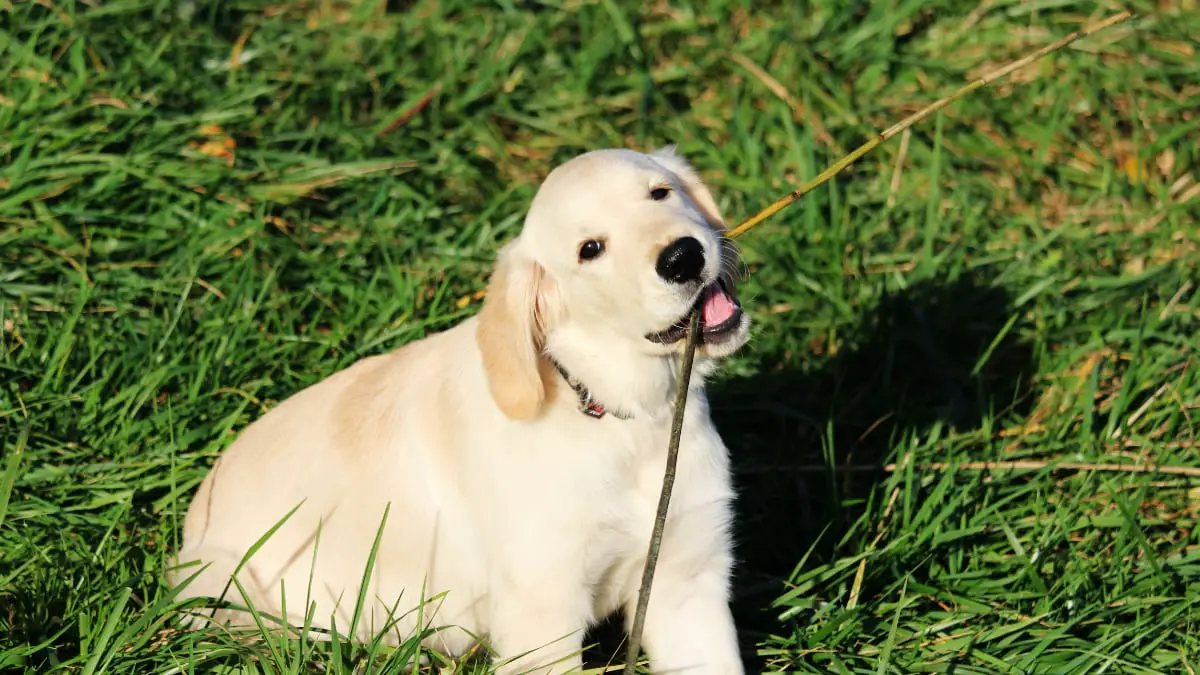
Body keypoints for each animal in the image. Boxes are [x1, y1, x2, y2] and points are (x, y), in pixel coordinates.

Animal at [169, 148, 748, 672]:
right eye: (591, 249)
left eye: (661, 193)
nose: (682, 257)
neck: (625, 416)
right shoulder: (543, 609)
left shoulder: (687, 578)